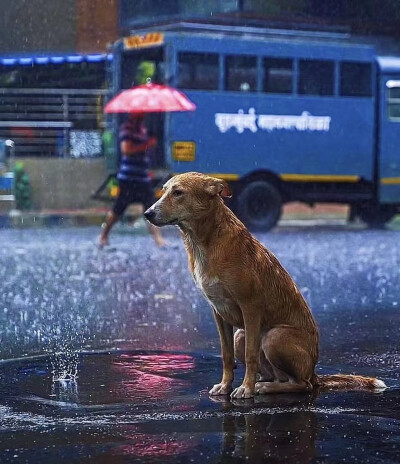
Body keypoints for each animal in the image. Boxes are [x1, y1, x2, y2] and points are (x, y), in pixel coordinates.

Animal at [144, 173, 384, 398]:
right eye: (164, 190)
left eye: (178, 193)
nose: (147, 213)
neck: (204, 241)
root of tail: (314, 372)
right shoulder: (218, 312)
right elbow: (226, 354)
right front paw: (225, 385)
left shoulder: (250, 308)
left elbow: (251, 355)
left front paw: (245, 389)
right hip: (241, 335)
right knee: (276, 376)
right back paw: (264, 384)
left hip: (273, 336)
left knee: (301, 384)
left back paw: (263, 387)